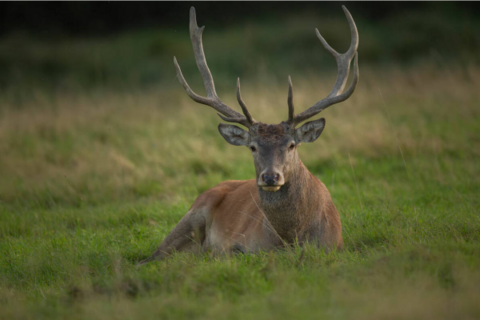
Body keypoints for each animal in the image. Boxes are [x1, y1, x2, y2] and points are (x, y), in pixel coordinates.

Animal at [137, 5, 358, 264]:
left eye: (292, 145)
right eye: (253, 147)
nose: (270, 177)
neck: (292, 238)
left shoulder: (335, 244)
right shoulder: (241, 244)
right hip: (191, 216)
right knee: (153, 255)